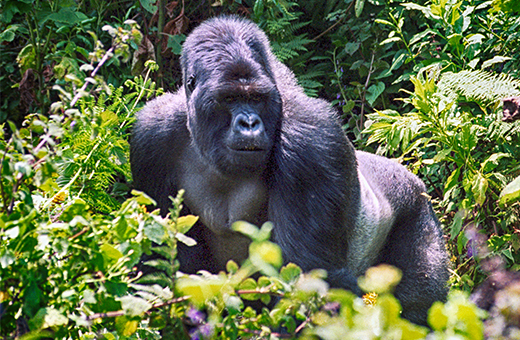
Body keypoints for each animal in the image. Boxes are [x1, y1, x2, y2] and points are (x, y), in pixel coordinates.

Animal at [131, 15, 450, 324]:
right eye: (230, 98)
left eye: (256, 98)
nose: (249, 123)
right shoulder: (151, 136)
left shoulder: (310, 140)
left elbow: (308, 278)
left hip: (418, 208)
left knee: (419, 308)